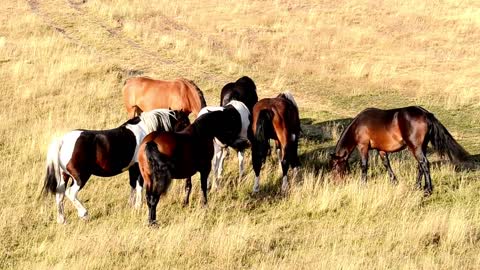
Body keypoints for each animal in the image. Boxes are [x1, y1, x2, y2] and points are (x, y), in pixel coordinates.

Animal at [42, 108, 189, 225]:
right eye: (185, 122)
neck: (144, 130)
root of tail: (63, 140)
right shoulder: (137, 167)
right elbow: (139, 186)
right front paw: (138, 206)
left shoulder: (132, 168)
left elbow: (132, 186)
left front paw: (131, 206)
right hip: (80, 177)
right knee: (70, 193)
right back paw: (84, 214)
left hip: (64, 176)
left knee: (59, 195)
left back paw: (62, 220)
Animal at [330, 106, 468, 194]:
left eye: (335, 166)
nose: (335, 182)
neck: (357, 126)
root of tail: (425, 114)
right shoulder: (381, 150)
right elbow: (386, 164)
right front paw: (394, 181)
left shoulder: (363, 146)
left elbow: (364, 165)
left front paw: (363, 184)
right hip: (420, 147)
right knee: (420, 165)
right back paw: (417, 186)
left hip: (415, 147)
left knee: (424, 163)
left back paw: (428, 189)